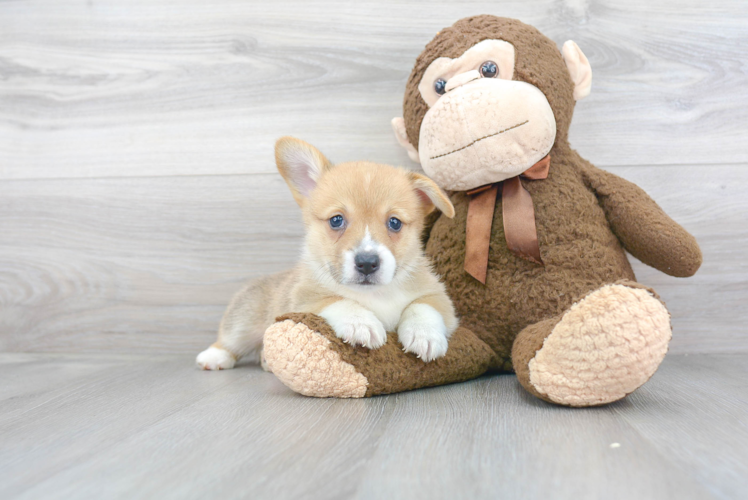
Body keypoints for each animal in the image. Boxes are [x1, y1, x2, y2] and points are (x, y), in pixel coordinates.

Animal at [196, 137, 458, 372]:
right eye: (336, 220)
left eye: (394, 223)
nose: (367, 263)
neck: (374, 295)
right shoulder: (304, 301)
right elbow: (338, 300)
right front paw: (360, 322)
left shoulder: (440, 298)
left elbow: (423, 306)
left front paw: (424, 335)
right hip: (245, 321)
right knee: (230, 339)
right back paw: (214, 357)